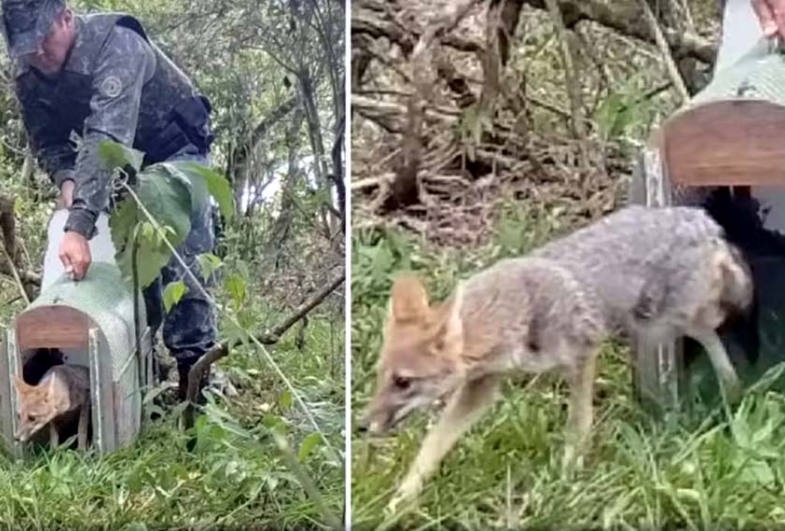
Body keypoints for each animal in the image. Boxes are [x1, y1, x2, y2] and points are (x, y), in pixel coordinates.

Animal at [360, 206, 752, 512]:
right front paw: (400, 502)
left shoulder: (583, 353)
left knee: (718, 317)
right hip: (662, 324)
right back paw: (731, 389)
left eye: (403, 382)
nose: (361, 426)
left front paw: (566, 478)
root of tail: (699, 218)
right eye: (380, 376)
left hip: (665, 321)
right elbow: (431, 447)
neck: (517, 311)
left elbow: (578, 424)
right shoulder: (482, 386)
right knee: (712, 335)